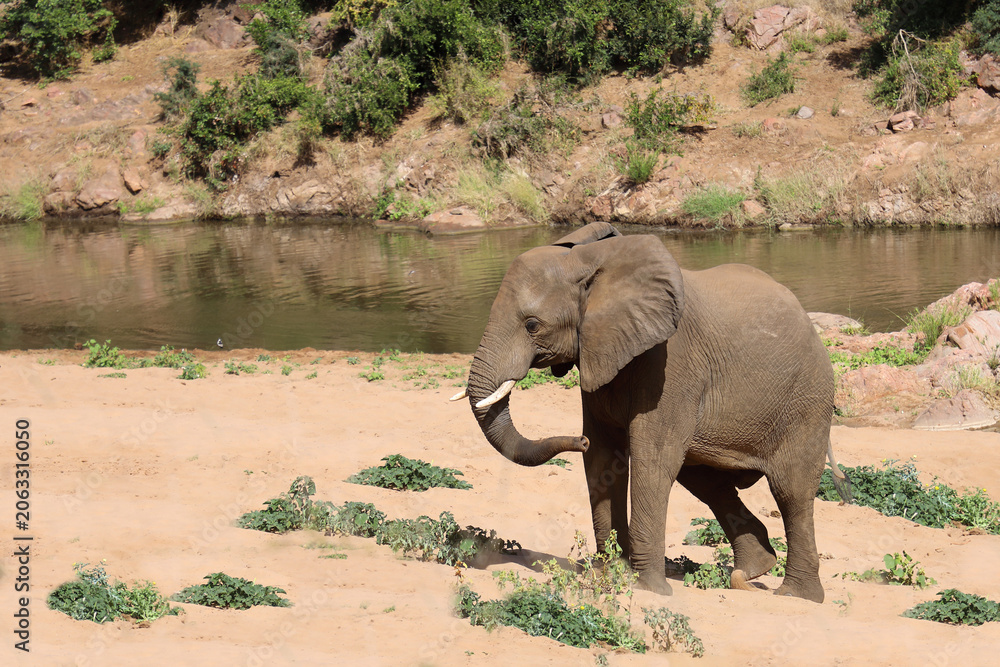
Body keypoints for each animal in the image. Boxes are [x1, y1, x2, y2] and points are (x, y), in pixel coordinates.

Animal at [455, 222, 851, 603]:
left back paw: (797, 596)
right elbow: (602, 459)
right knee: (707, 481)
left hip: (807, 400)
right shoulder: (601, 352)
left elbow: (653, 459)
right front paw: (612, 575)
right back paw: (751, 572)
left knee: (791, 492)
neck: (592, 261)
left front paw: (647, 589)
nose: (577, 440)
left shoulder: (672, 363)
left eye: (532, 325)